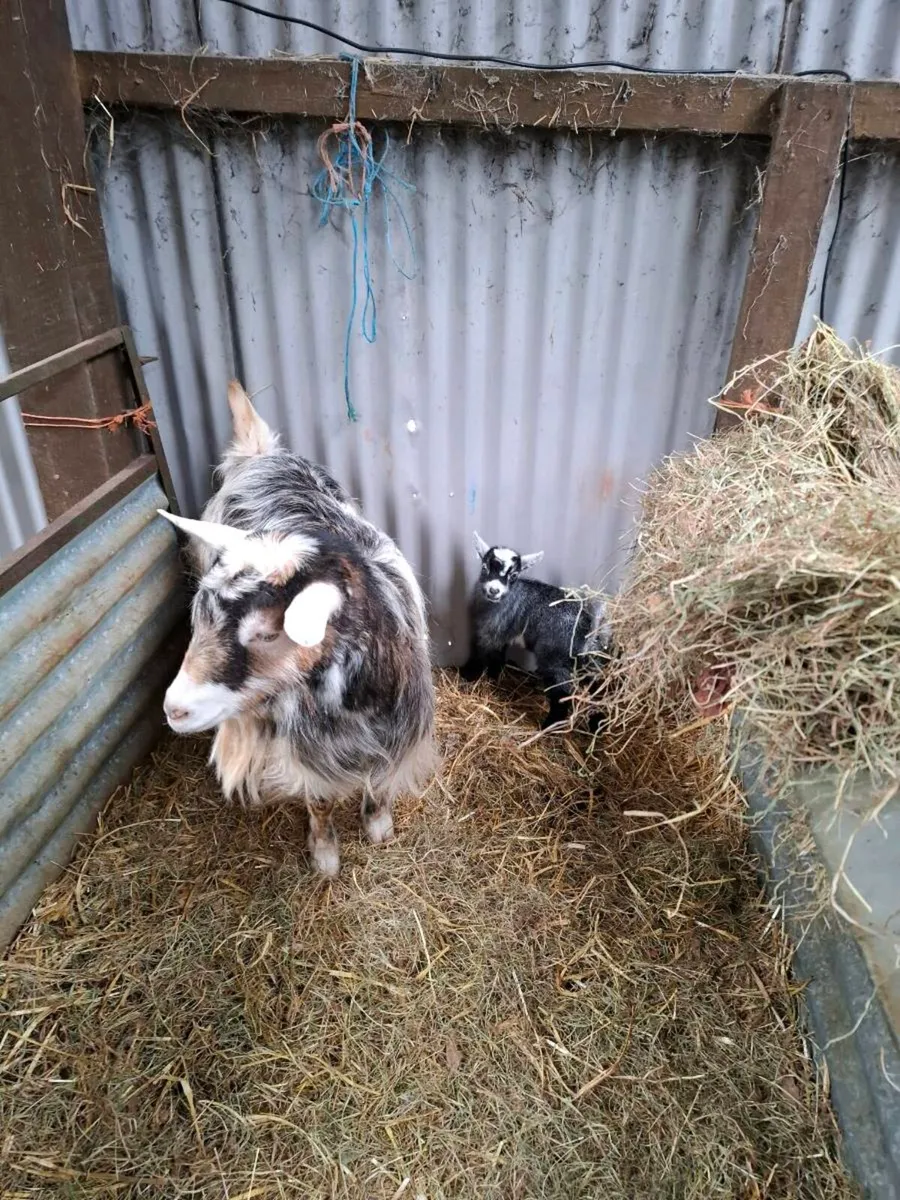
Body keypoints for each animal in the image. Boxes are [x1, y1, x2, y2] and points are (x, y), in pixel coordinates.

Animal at [157, 382, 436, 879]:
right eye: (198, 618)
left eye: (268, 633)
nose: (173, 710)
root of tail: (261, 454)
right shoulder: (310, 756)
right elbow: (320, 802)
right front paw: (325, 855)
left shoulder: (401, 738)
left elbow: (379, 784)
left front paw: (378, 825)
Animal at [460, 532, 610, 730]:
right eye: (484, 567)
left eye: (514, 575)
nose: (494, 590)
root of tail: (589, 627)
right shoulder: (504, 633)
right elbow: (498, 658)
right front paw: (494, 678)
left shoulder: (492, 630)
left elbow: (482, 653)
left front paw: (467, 676)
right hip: (590, 659)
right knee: (600, 686)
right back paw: (598, 723)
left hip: (555, 658)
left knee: (562, 694)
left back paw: (549, 725)